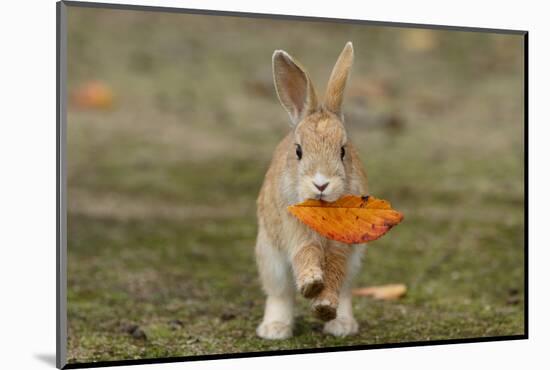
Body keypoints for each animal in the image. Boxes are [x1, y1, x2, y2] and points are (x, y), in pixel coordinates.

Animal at [256, 42, 370, 340]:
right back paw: (274, 330)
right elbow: (304, 253)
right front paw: (310, 284)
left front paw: (324, 305)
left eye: (343, 151)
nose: (321, 184)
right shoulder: (294, 230)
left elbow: (335, 273)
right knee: (280, 294)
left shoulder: (343, 246)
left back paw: (342, 326)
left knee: (345, 291)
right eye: (298, 151)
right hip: (270, 257)